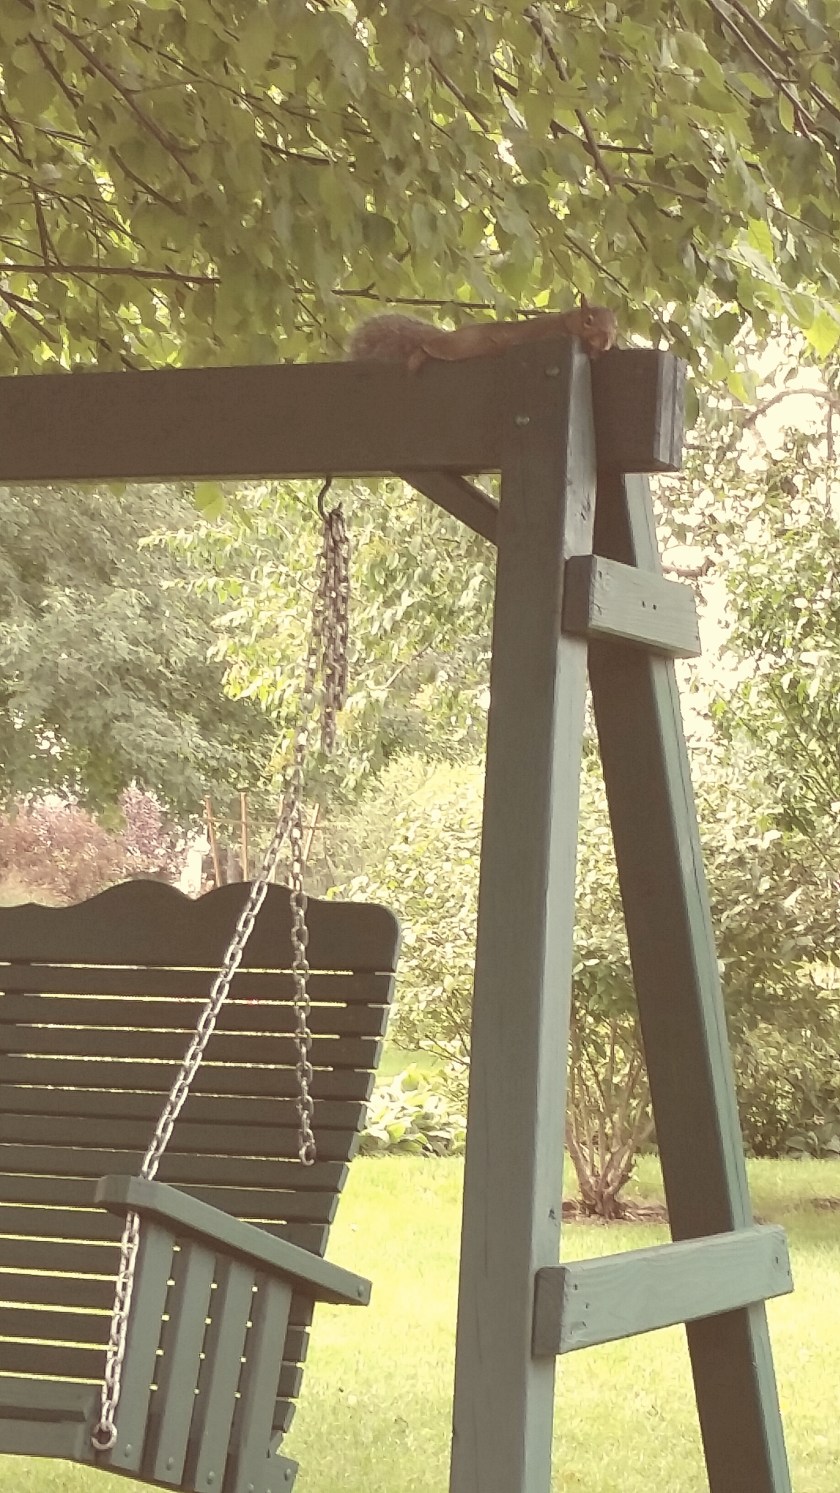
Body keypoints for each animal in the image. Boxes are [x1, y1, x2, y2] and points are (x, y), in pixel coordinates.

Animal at [347, 297, 617, 372]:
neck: (568, 322)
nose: (605, 338)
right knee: (432, 346)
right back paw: (418, 356)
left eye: (615, 326)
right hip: (460, 346)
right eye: (588, 320)